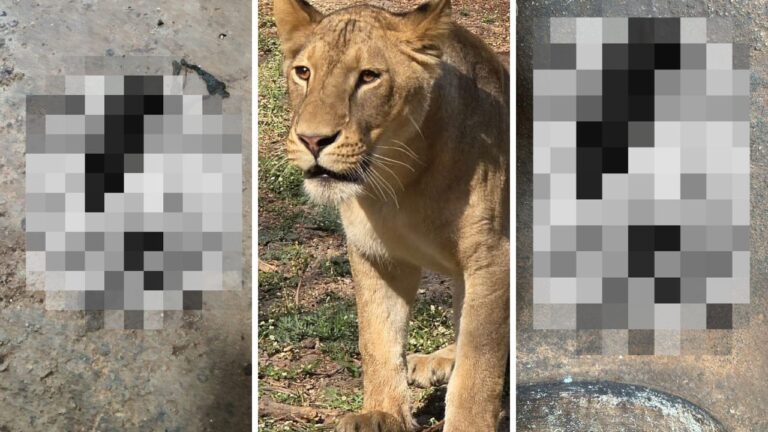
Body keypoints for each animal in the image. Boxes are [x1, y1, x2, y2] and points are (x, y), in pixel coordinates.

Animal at [273, 0, 509, 430]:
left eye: (369, 76)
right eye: (303, 72)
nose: (312, 140)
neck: (398, 183)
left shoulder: (492, 258)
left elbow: (479, 364)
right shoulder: (376, 254)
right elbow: (377, 337)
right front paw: (381, 413)